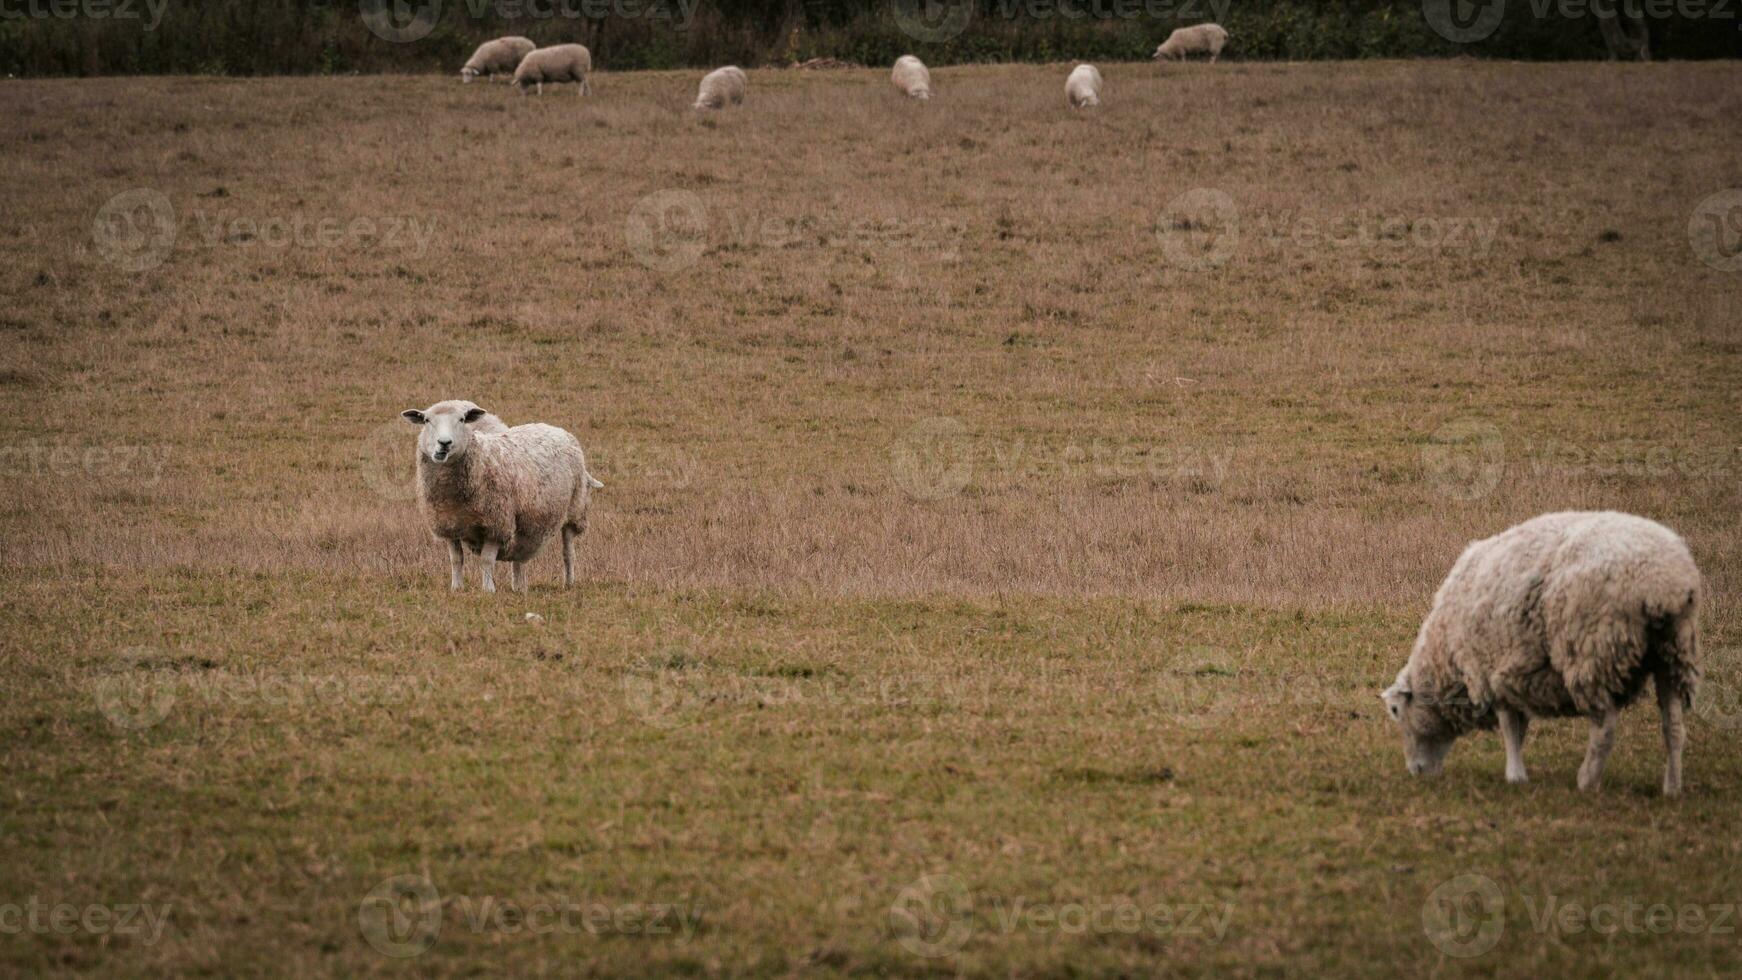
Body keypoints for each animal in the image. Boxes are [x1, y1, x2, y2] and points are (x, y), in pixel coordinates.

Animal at [400, 396, 606, 595]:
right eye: (426, 420)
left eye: (462, 420)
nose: (444, 443)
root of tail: (557, 429)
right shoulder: (449, 525)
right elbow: (456, 559)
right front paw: (456, 588)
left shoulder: (496, 524)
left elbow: (486, 560)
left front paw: (488, 590)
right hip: (526, 523)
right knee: (520, 555)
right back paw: (519, 587)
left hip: (574, 511)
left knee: (568, 552)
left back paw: (569, 582)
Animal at [1386, 515, 1700, 797]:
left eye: (1395, 711)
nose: (1416, 771)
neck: (1445, 655)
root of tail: (1663, 584)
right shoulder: (1511, 673)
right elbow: (1519, 726)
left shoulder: (1490, 669)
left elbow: (1509, 725)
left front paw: (1515, 775)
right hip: (1673, 652)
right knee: (1674, 726)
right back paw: (1672, 788)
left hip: (1592, 652)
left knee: (1605, 728)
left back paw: (1587, 781)